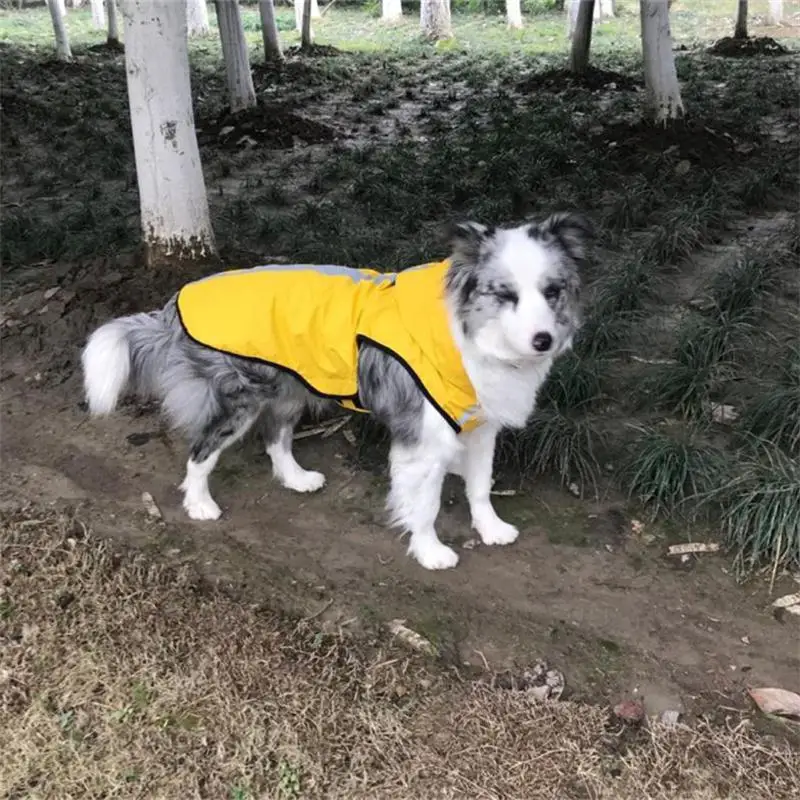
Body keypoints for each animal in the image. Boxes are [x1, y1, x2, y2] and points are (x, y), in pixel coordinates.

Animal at [81, 216, 592, 572]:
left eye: (552, 291)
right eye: (505, 294)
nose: (543, 340)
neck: (464, 332)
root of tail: (175, 300)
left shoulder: (480, 426)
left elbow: (481, 486)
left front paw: (490, 529)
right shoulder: (424, 440)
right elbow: (424, 504)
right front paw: (430, 551)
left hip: (289, 389)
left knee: (276, 439)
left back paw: (296, 478)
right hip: (241, 400)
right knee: (201, 450)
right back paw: (200, 504)